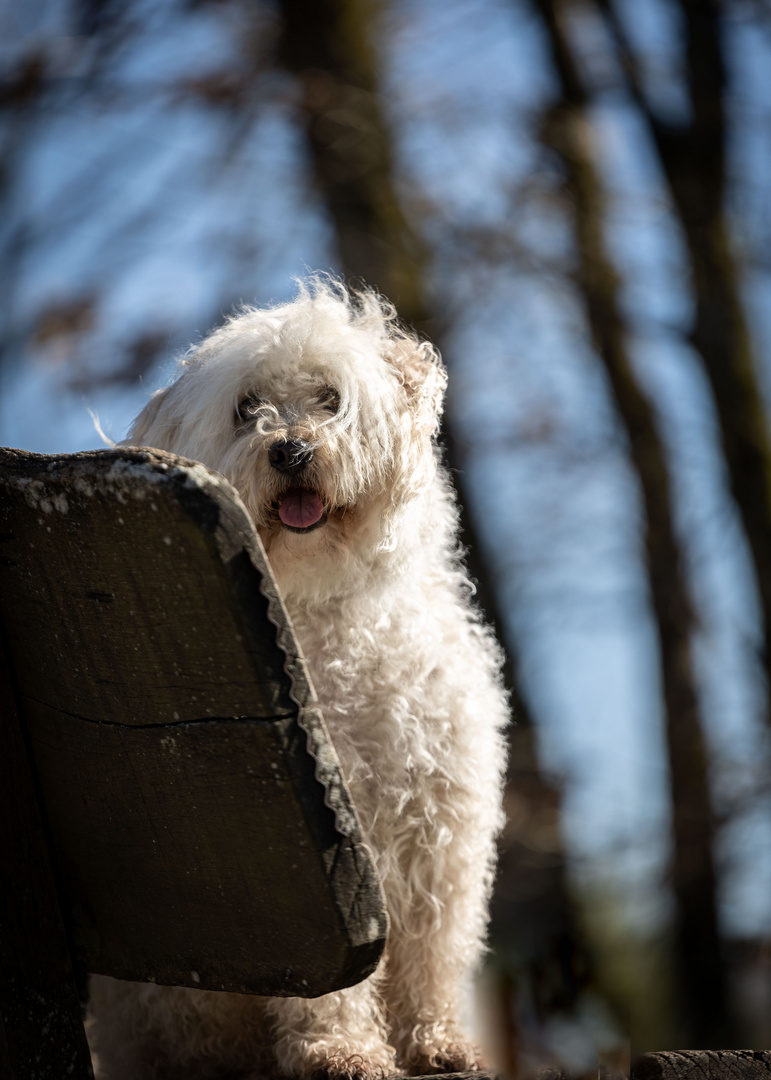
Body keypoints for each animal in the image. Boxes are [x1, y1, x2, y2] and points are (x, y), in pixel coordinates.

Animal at [86, 280, 507, 1080]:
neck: (326, 615)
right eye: (247, 407)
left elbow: (433, 960)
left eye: (330, 398)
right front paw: (341, 1051)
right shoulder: (317, 868)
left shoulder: (437, 837)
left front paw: (437, 1043)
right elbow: (329, 984)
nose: (291, 449)